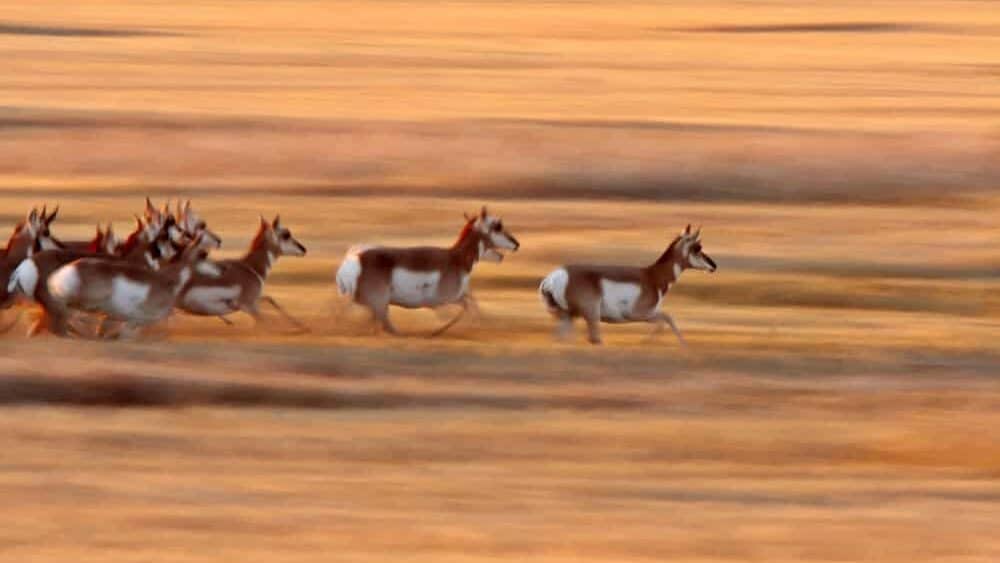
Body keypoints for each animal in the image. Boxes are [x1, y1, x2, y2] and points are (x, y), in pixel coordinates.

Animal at [43, 233, 216, 340]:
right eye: (202, 253)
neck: (167, 281)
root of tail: (60, 274)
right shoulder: (134, 320)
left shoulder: (125, 321)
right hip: (83, 302)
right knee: (64, 314)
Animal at [175, 215, 307, 330]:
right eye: (286, 235)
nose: (304, 249)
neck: (251, 267)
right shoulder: (248, 305)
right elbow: (265, 321)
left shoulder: (255, 300)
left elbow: (271, 300)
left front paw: (301, 326)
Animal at [335, 206, 519, 336]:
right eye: (497, 226)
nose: (516, 244)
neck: (455, 258)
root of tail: (353, 259)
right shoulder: (443, 301)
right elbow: (461, 311)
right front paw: (437, 331)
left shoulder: (459, 296)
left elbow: (473, 307)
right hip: (379, 302)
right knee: (384, 325)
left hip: (376, 304)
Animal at [539, 225, 717, 345]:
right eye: (697, 247)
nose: (713, 266)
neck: (652, 276)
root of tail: (554, 277)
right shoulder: (641, 314)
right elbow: (667, 319)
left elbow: (666, 319)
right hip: (591, 315)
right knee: (594, 339)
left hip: (567, 316)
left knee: (562, 337)